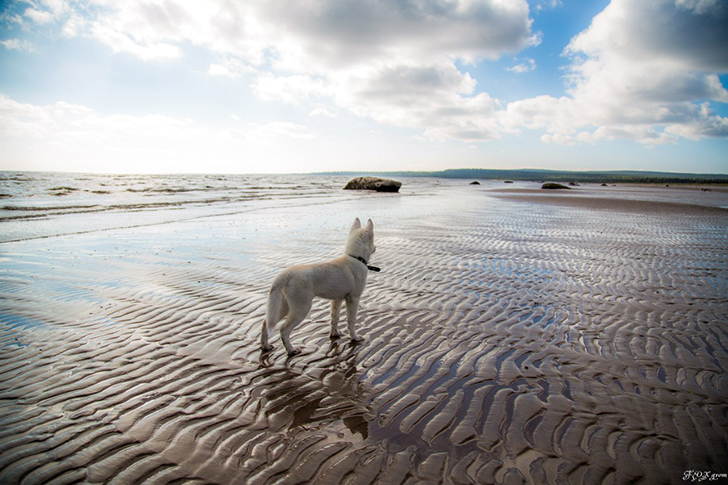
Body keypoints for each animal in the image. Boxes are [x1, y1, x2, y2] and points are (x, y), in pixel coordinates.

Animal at [258, 217, 378, 354]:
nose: (376, 247)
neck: (355, 258)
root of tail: (286, 274)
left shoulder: (336, 300)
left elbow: (334, 319)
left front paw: (334, 334)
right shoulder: (353, 299)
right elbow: (351, 321)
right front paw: (355, 338)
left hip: (284, 306)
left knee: (265, 323)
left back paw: (265, 346)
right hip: (301, 308)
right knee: (283, 329)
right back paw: (291, 350)